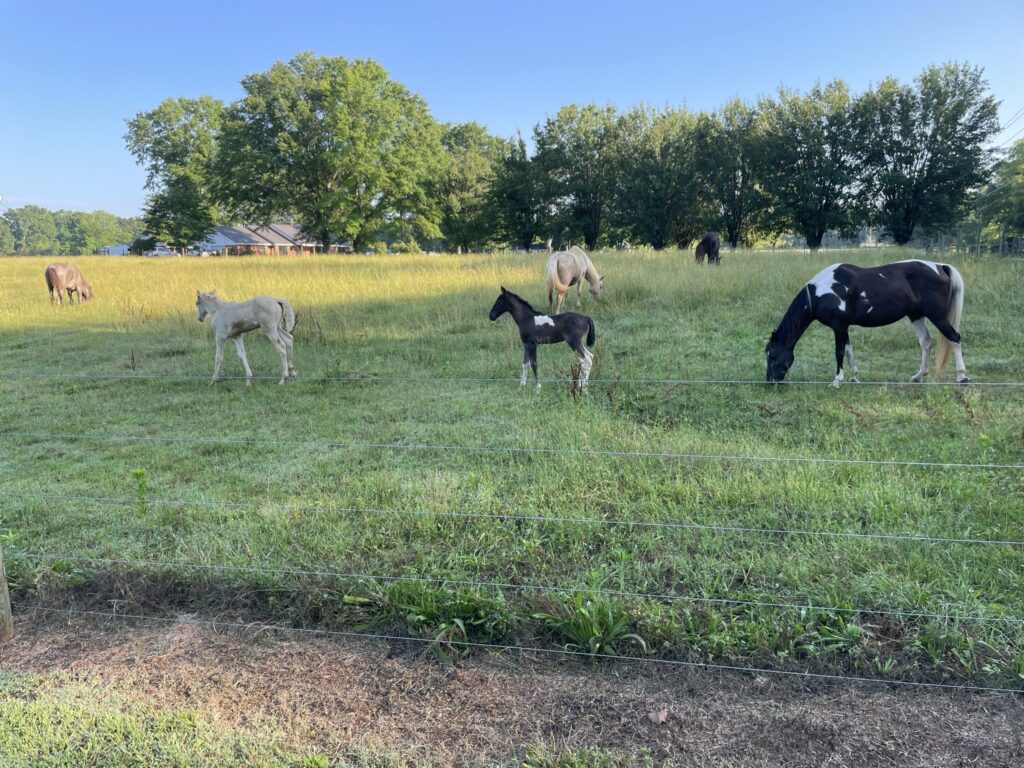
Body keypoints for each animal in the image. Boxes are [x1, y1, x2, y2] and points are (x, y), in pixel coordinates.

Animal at [765, 260, 968, 387]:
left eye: (772, 356)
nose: (770, 382)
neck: (821, 292)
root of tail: (940, 267)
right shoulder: (844, 327)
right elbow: (848, 351)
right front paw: (854, 378)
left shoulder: (838, 326)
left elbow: (839, 353)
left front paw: (837, 381)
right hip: (916, 315)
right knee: (925, 342)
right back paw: (918, 376)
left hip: (937, 316)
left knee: (954, 338)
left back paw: (962, 377)